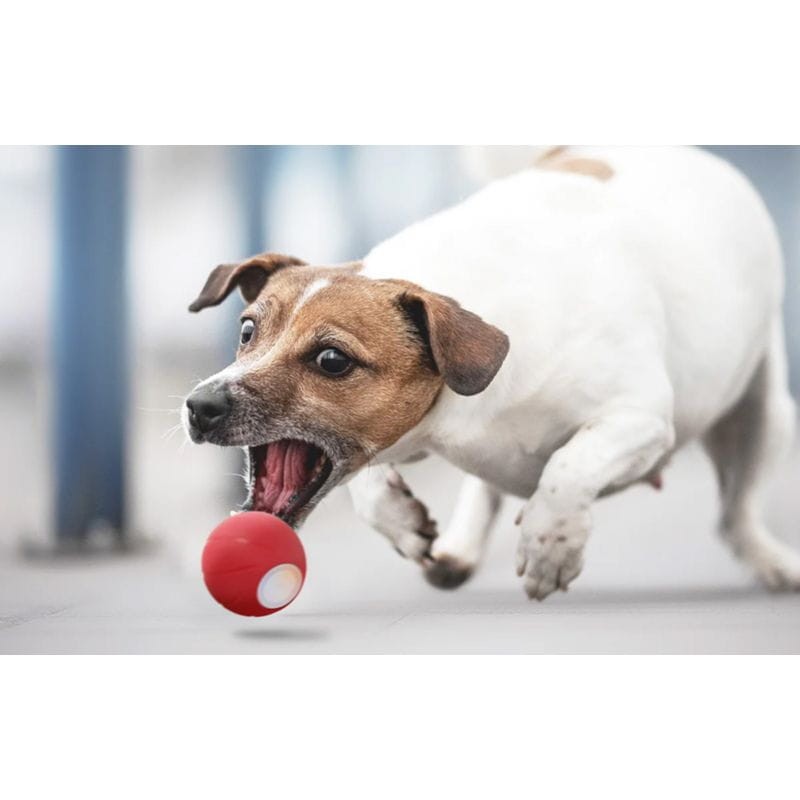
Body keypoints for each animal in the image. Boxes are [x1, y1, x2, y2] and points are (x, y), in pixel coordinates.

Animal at [183, 147, 800, 600]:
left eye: (332, 360)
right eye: (246, 331)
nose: (200, 405)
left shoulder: (638, 418)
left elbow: (569, 468)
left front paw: (551, 547)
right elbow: (367, 481)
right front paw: (399, 518)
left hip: (763, 417)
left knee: (736, 517)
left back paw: (774, 564)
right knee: (487, 488)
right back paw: (458, 550)